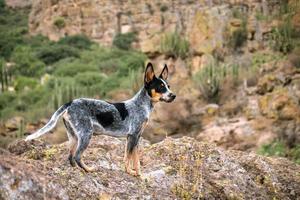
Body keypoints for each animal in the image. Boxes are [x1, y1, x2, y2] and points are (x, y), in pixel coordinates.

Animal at [25, 62, 176, 177]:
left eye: (168, 86)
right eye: (160, 87)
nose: (173, 95)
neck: (141, 104)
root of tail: (70, 103)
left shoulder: (135, 138)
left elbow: (134, 159)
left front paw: (137, 173)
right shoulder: (133, 136)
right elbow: (129, 159)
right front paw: (132, 173)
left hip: (73, 136)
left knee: (70, 157)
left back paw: (77, 170)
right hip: (86, 135)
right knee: (77, 156)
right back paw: (89, 169)